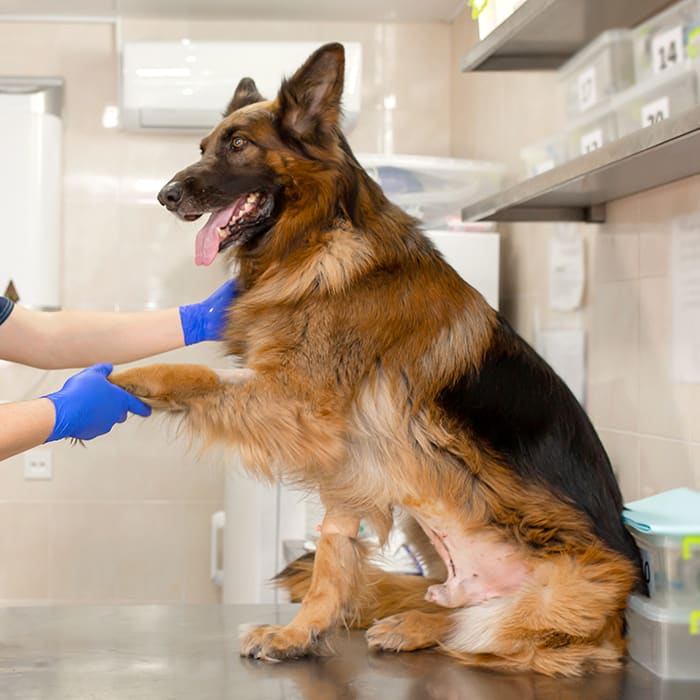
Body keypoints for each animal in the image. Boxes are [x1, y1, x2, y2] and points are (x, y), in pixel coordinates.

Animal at [112, 41, 644, 676]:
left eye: (238, 144)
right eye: (203, 147)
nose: (165, 195)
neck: (317, 241)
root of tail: (621, 624)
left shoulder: (300, 404)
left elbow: (196, 373)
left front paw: (117, 380)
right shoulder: (347, 459)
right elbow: (330, 557)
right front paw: (300, 633)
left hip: (547, 592)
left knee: (484, 630)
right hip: (425, 511)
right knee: (448, 603)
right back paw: (412, 619)